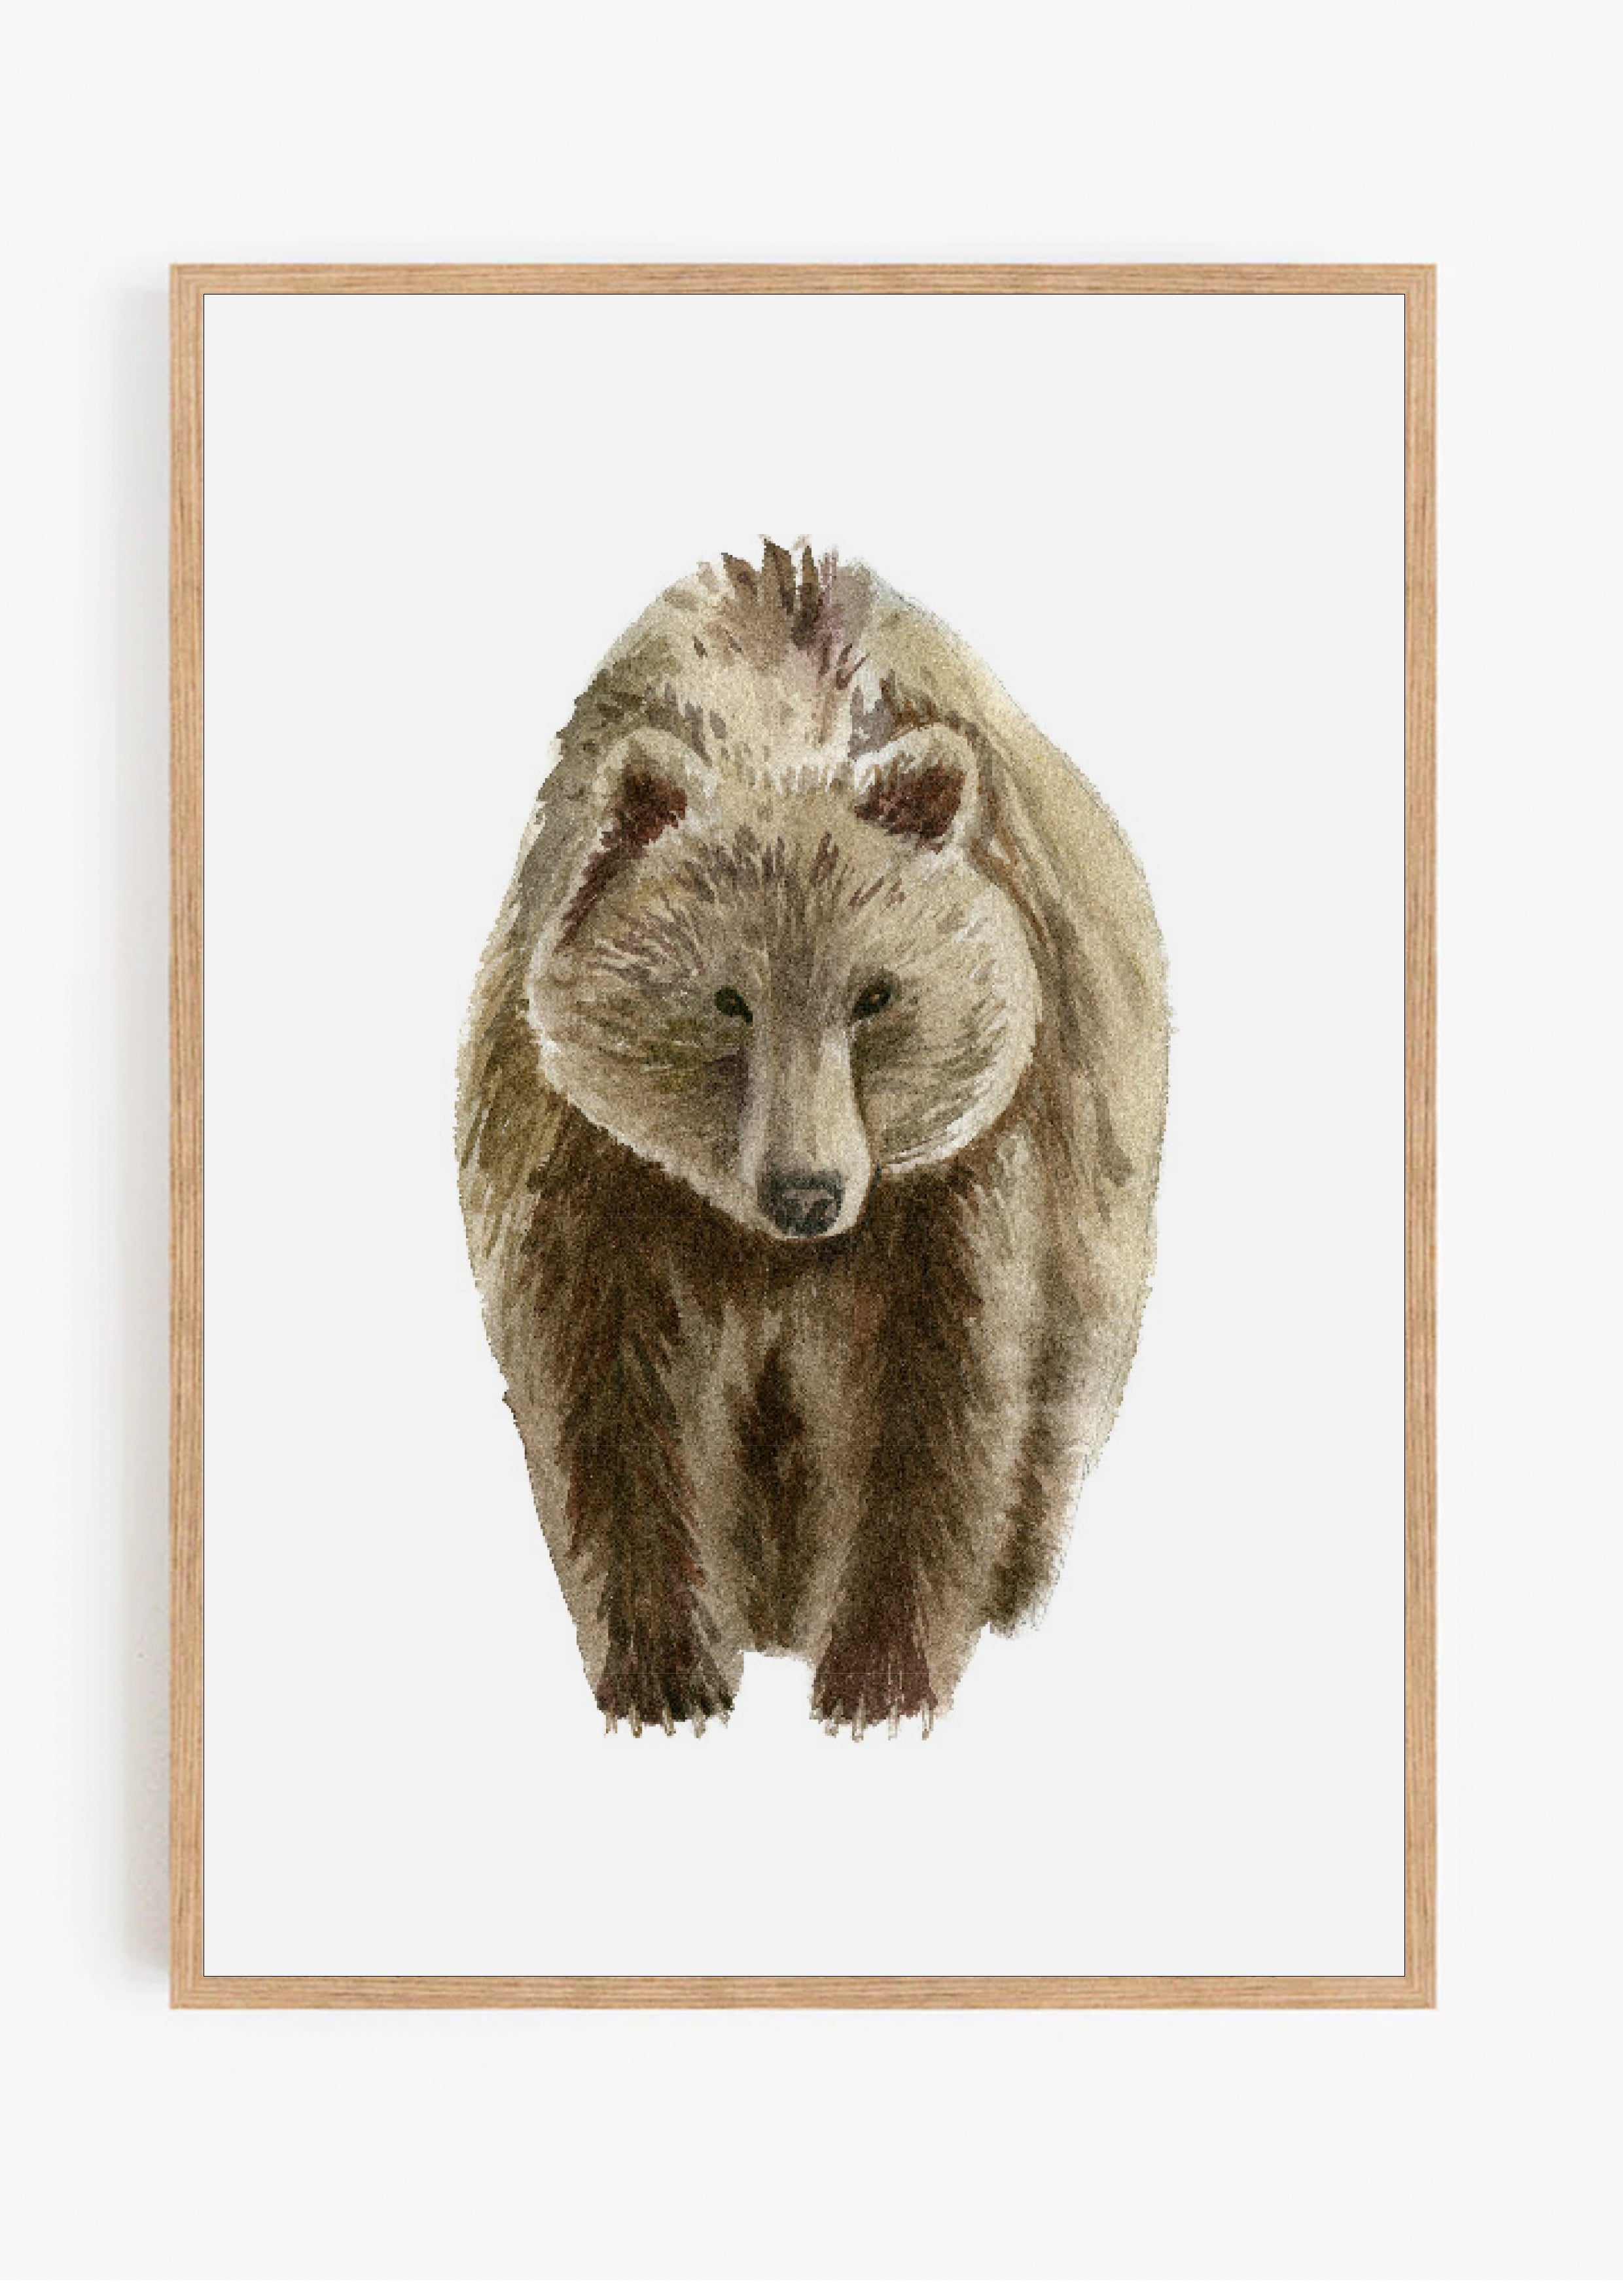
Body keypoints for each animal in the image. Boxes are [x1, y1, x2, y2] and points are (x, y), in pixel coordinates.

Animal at [456, 540, 1168, 1736]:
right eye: (726, 1000)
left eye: (875, 996)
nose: (806, 1191)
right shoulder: (593, 1169)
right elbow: (611, 1400)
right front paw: (664, 1677)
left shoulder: (956, 1184)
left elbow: (932, 1408)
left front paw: (879, 1680)